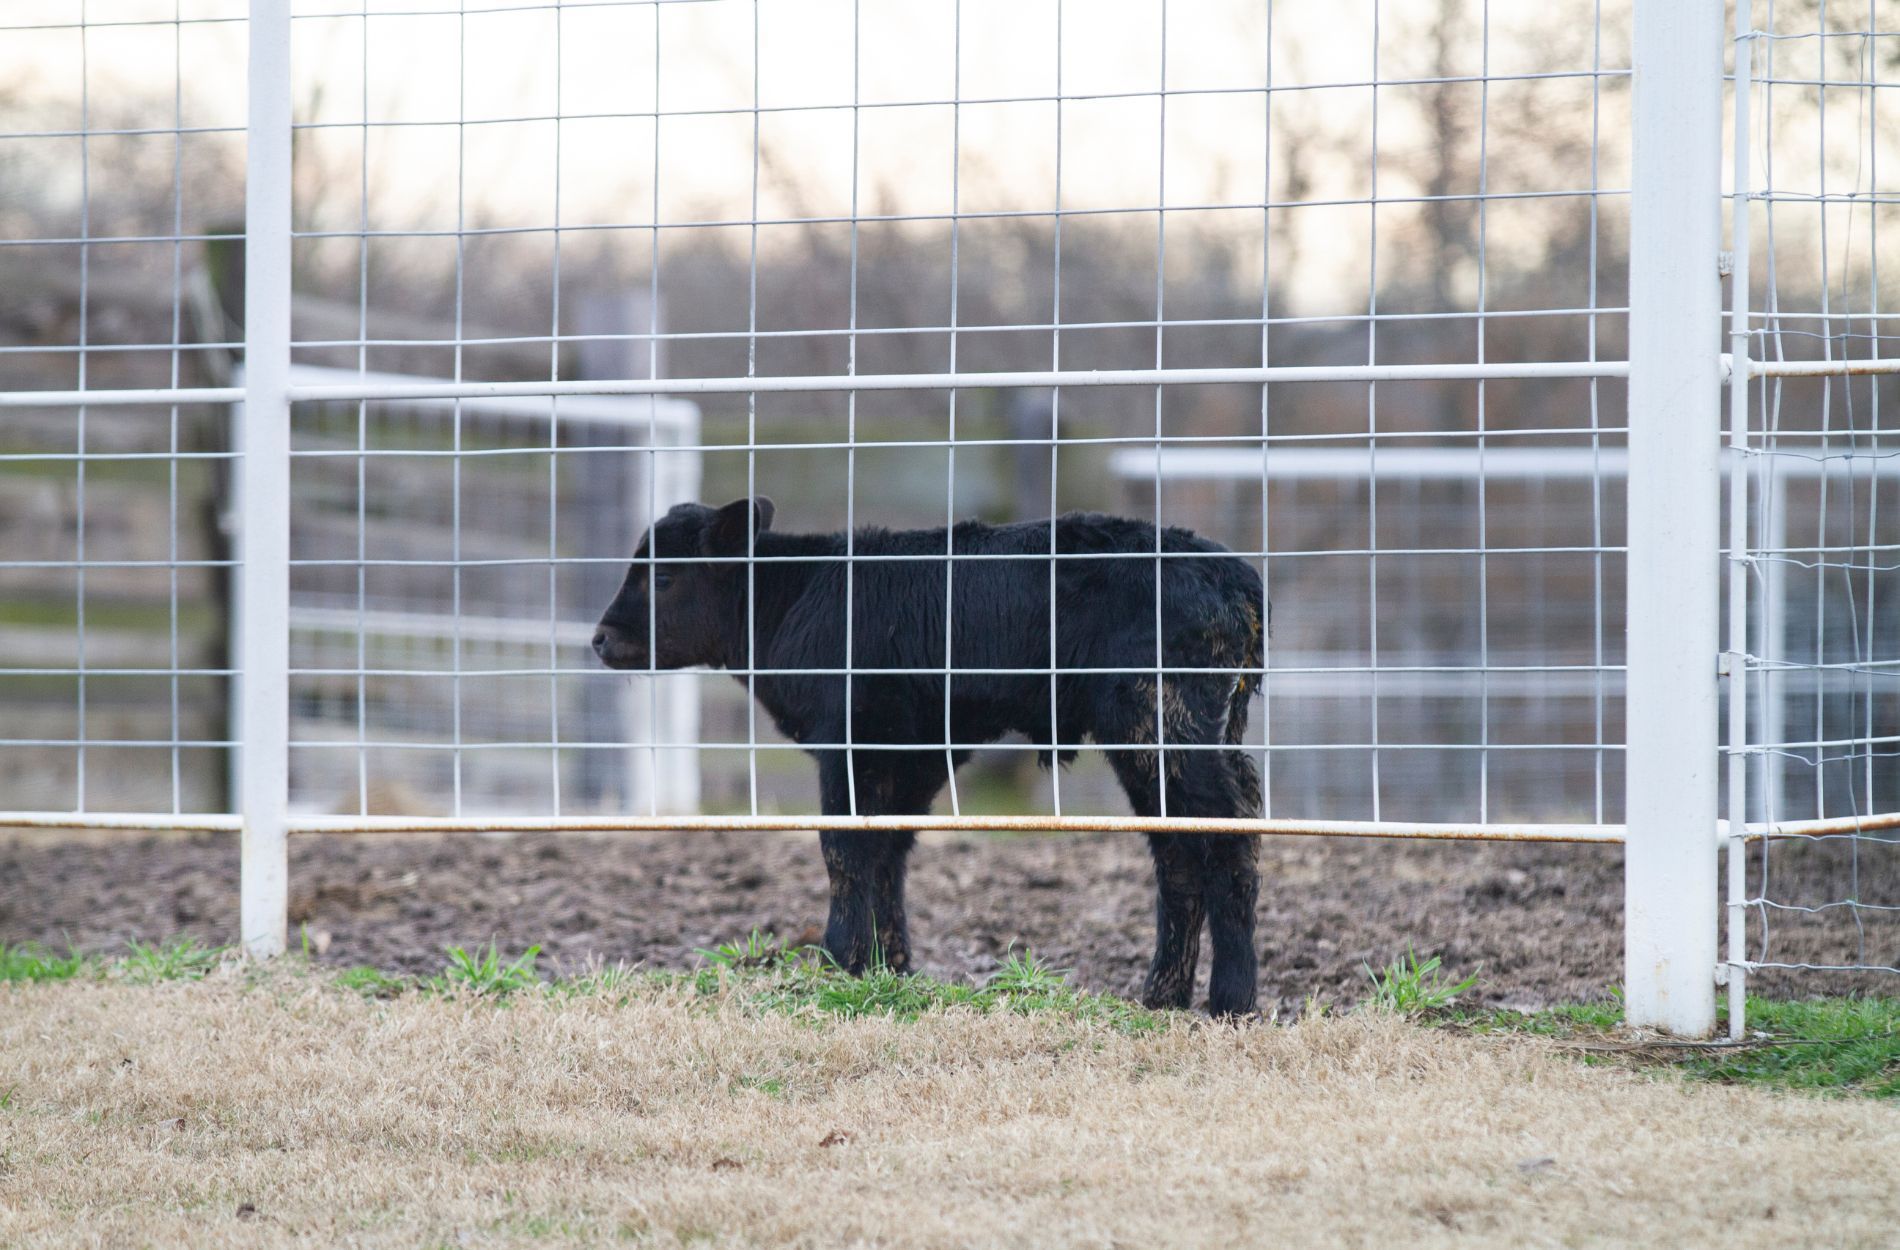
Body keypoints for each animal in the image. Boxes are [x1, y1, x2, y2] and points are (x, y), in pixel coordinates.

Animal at [592, 497, 1269, 1010]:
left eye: (664, 576)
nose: (600, 638)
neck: (796, 596)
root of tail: (1232, 573)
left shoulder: (853, 743)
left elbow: (844, 847)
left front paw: (839, 959)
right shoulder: (909, 754)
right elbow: (888, 850)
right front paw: (889, 966)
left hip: (1161, 724)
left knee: (1226, 834)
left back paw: (1230, 999)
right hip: (1180, 736)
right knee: (1179, 849)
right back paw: (1162, 996)